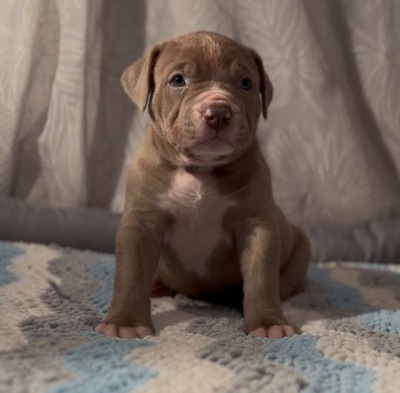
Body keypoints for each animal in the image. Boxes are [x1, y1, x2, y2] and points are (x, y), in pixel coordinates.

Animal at [95, 30, 310, 338]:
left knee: (285, 280)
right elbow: (132, 273)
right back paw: (157, 285)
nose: (218, 111)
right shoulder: (141, 223)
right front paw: (125, 323)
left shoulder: (257, 226)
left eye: (246, 83)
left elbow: (261, 277)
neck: (200, 169)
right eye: (177, 80)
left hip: (302, 247)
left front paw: (268, 322)